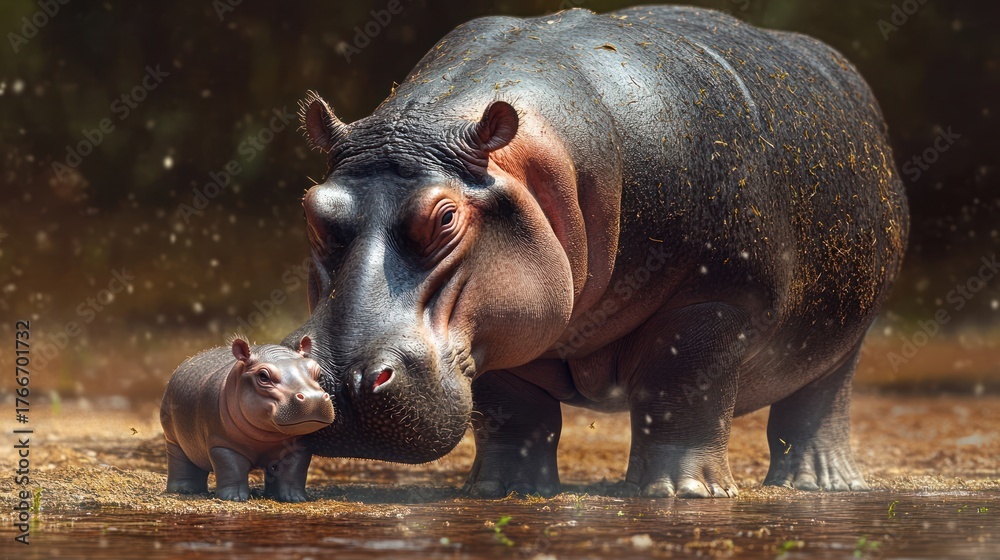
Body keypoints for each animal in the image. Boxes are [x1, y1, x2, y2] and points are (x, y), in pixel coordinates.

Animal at [160, 336, 335, 501]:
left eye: (317, 372)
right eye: (263, 376)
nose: (313, 397)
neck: (266, 437)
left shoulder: (299, 446)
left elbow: (292, 472)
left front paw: (295, 498)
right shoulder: (222, 444)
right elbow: (232, 469)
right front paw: (234, 498)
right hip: (172, 438)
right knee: (180, 461)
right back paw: (184, 489)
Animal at [286, 5, 908, 498]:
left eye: (445, 217)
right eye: (313, 208)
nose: (340, 380)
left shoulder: (714, 302)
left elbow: (684, 392)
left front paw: (682, 494)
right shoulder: (503, 323)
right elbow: (515, 412)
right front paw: (502, 491)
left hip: (845, 332)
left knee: (818, 405)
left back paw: (821, 485)